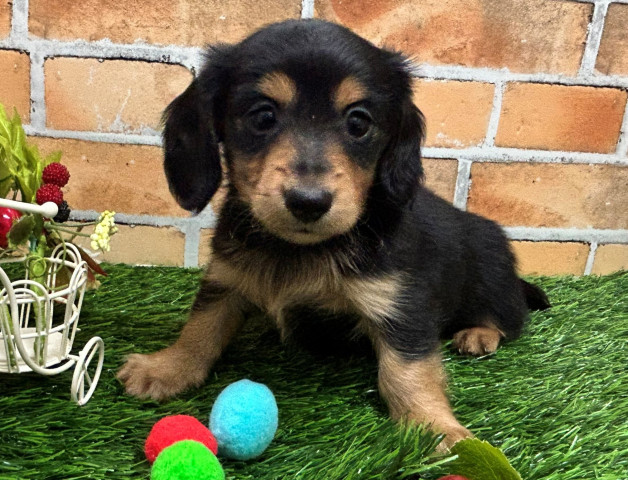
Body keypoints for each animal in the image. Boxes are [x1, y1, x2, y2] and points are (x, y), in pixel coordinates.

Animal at [118, 19, 550, 449]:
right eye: (262, 117)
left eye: (358, 123)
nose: (308, 202)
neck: (301, 250)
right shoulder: (227, 277)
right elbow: (202, 325)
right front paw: (166, 367)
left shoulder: (401, 304)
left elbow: (408, 372)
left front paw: (437, 428)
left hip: (493, 280)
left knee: (511, 318)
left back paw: (479, 334)